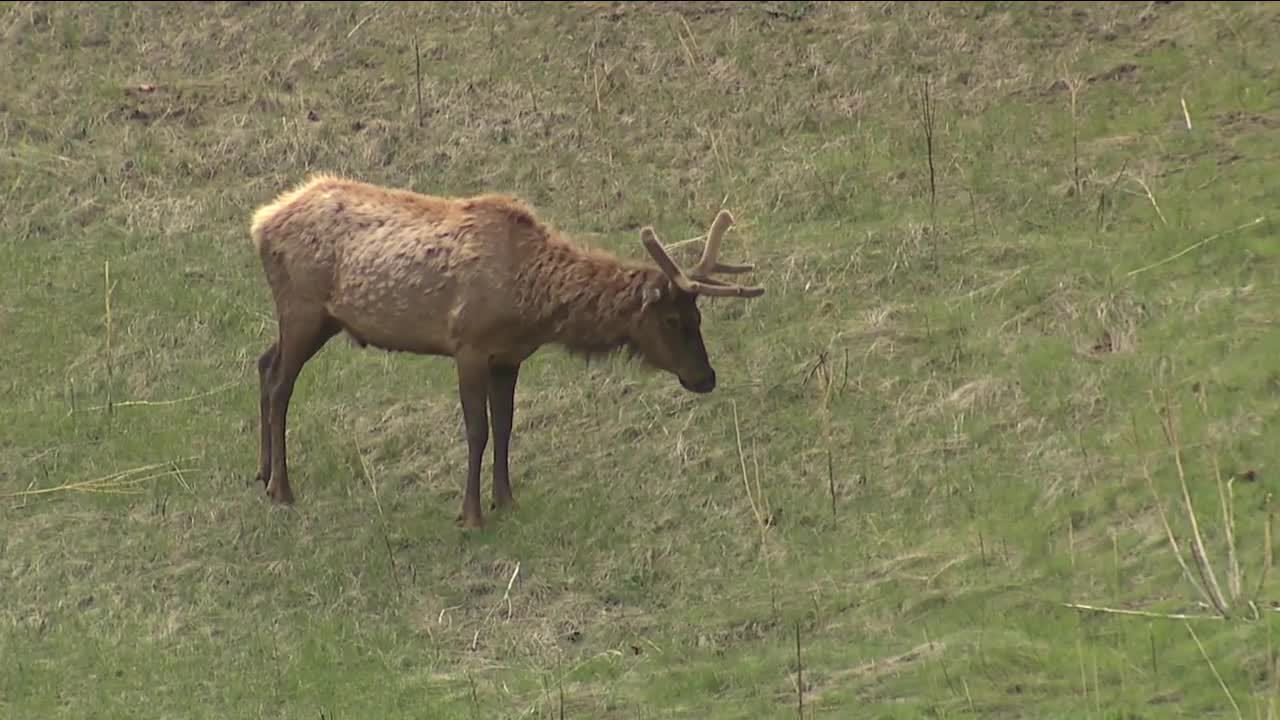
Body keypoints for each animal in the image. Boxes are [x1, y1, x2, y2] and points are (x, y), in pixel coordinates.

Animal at [250, 170, 768, 525]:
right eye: (672, 319)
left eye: (699, 317)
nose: (705, 378)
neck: (530, 304)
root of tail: (261, 223)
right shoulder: (469, 346)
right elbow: (476, 430)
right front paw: (471, 514)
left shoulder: (509, 357)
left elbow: (505, 427)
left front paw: (506, 500)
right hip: (303, 309)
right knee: (280, 384)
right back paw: (282, 489)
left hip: (314, 319)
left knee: (262, 362)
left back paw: (261, 472)